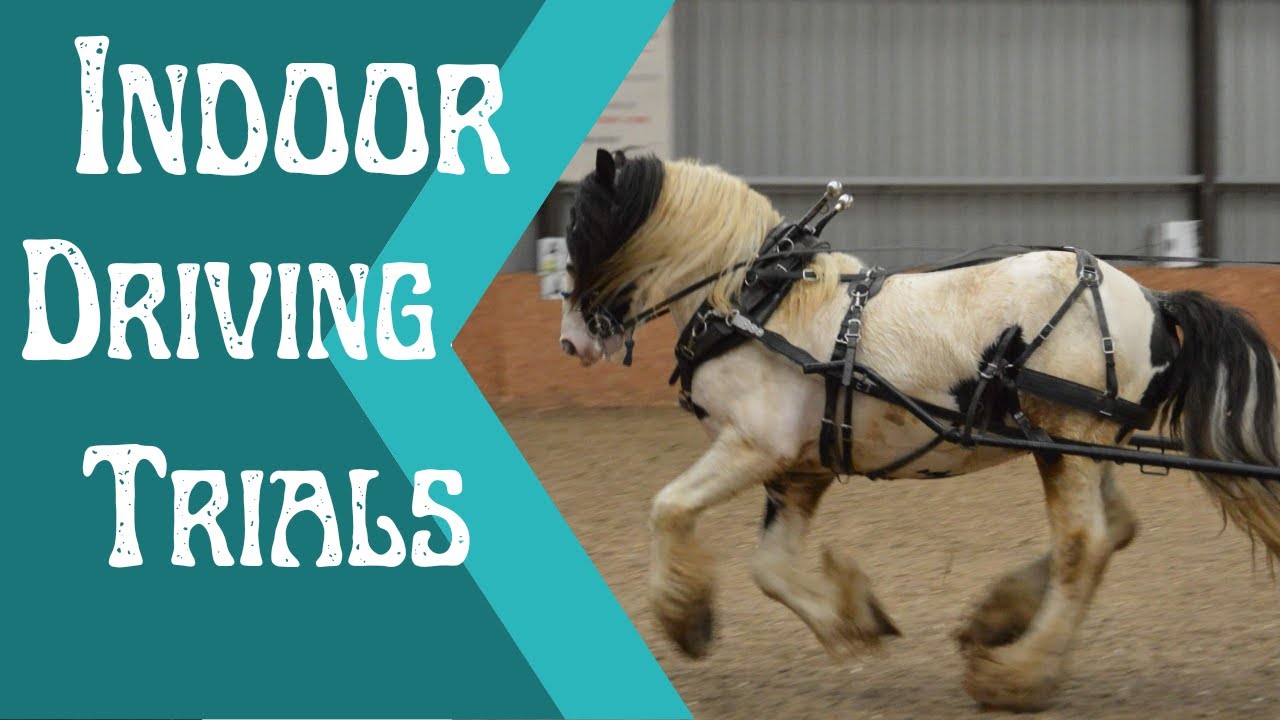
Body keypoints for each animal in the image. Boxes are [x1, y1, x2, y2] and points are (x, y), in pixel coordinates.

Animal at [556, 149, 1280, 711]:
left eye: (581, 223)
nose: (570, 343)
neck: (758, 301)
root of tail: (1152, 299)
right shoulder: (800, 467)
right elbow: (771, 567)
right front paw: (854, 621)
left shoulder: (754, 447)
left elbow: (669, 508)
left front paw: (685, 620)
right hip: (1084, 445)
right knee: (1115, 528)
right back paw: (998, 618)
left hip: (1067, 440)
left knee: (1085, 545)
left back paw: (1014, 677)